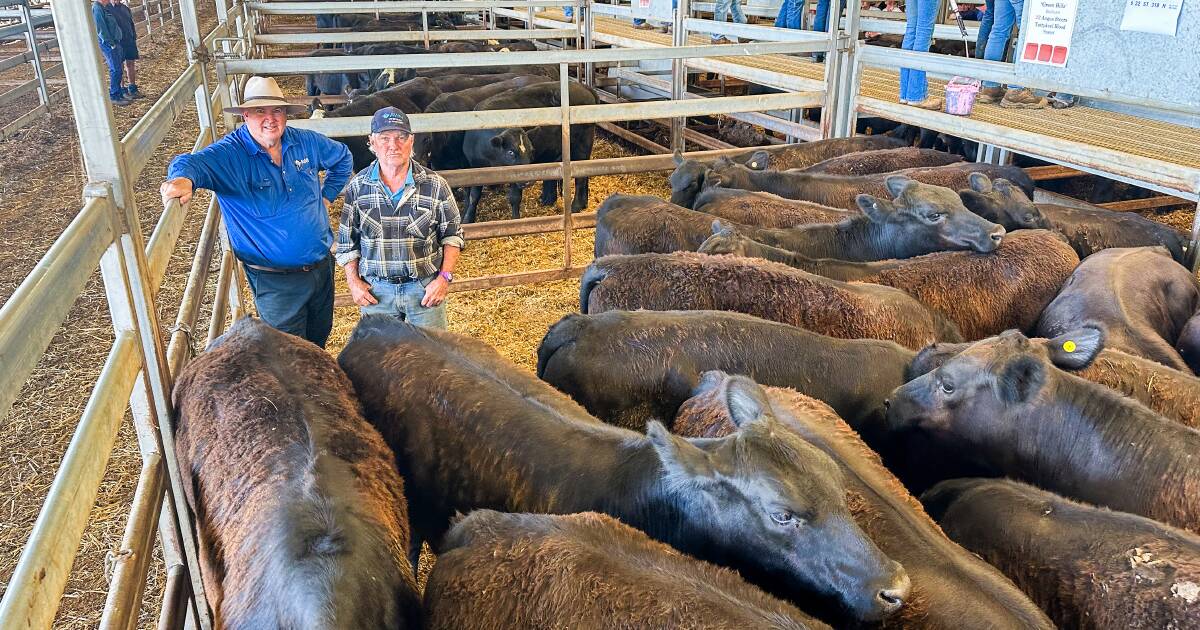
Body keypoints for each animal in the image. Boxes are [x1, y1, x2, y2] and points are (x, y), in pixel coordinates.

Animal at [460, 81, 597, 222]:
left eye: (531, 150)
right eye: (510, 152)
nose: (528, 180)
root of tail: (582, 86)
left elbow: (515, 198)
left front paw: (516, 220)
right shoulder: (475, 168)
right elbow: (473, 196)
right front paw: (467, 219)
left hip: (581, 147)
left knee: (580, 178)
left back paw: (576, 206)